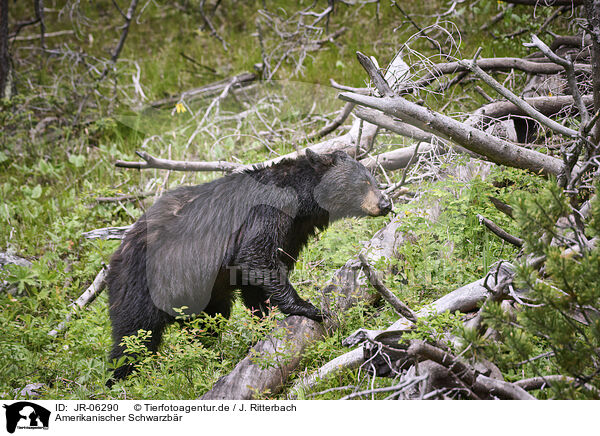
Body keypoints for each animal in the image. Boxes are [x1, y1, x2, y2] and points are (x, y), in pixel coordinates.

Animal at [105, 149, 392, 382]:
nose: (386, 203)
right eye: (363, 182)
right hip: (143, 282)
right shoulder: (267, 210)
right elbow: (256, 256)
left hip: (200, 293)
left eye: (373, 178)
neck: (300, 199)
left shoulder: (293, 232)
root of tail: (117, 253)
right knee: (134, 335)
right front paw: (308, 307)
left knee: (208, 321)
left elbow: (258, 277)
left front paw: (262, 324)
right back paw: (121, 377)